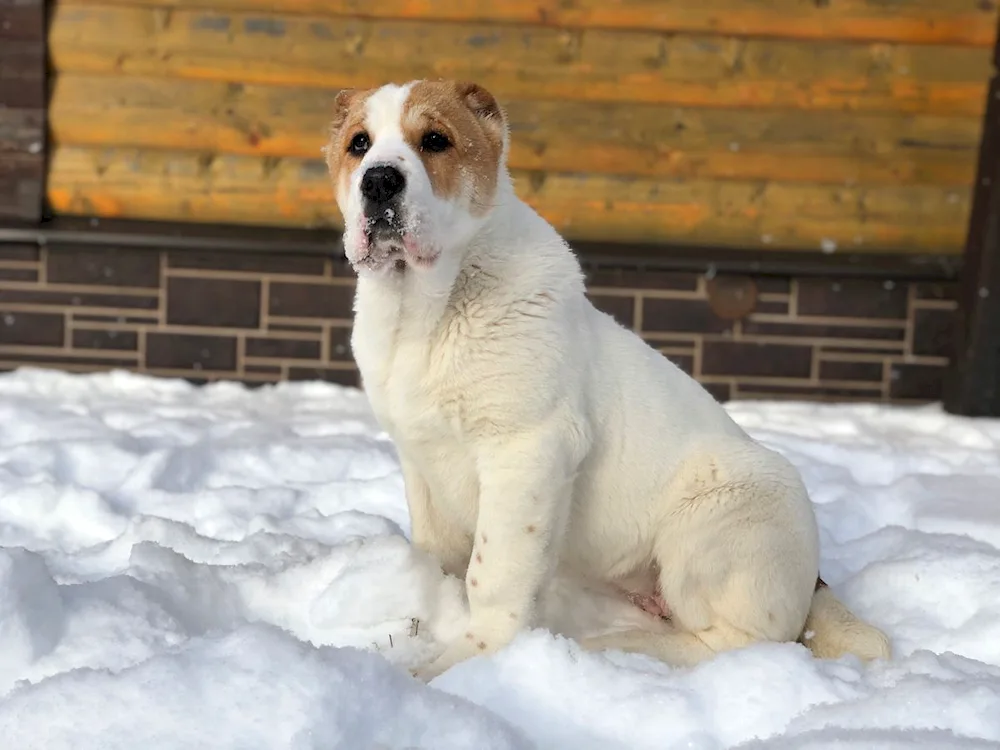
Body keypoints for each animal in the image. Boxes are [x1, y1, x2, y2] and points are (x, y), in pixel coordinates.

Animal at [326, 79, 892, 684]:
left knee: (736, 641)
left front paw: (463, 663)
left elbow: (494, 571)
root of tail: (815, 582)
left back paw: (615, 647)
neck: (424, 312)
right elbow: (440, 550)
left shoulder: (527, 450)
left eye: (435, 140)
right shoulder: (420, 458)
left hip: (731, 507)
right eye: (359, 144)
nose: (379, 180)